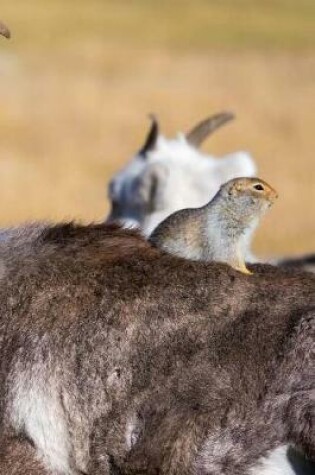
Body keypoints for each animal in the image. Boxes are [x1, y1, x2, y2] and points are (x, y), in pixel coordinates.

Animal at [149, 178, 278, 276]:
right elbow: (229, 255)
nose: (277, 195)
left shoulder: (241, 242)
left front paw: (247, 269)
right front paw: (247, 272)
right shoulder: (223, 234)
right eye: (258, 187)